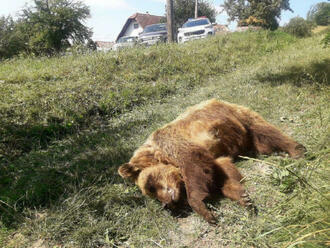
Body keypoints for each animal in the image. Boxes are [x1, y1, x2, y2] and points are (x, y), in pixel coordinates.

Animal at [117, 98, 306, 223]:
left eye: (150, 186)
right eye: (152, 194)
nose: (167, 205)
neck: (162, 155)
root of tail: (220, 99)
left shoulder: (178, 146)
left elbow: (194, 168)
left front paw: (204, 210)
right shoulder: (214, 159)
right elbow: (222, 175)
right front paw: (244, 198)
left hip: (239, 117)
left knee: (266, 131)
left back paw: (297, 151)